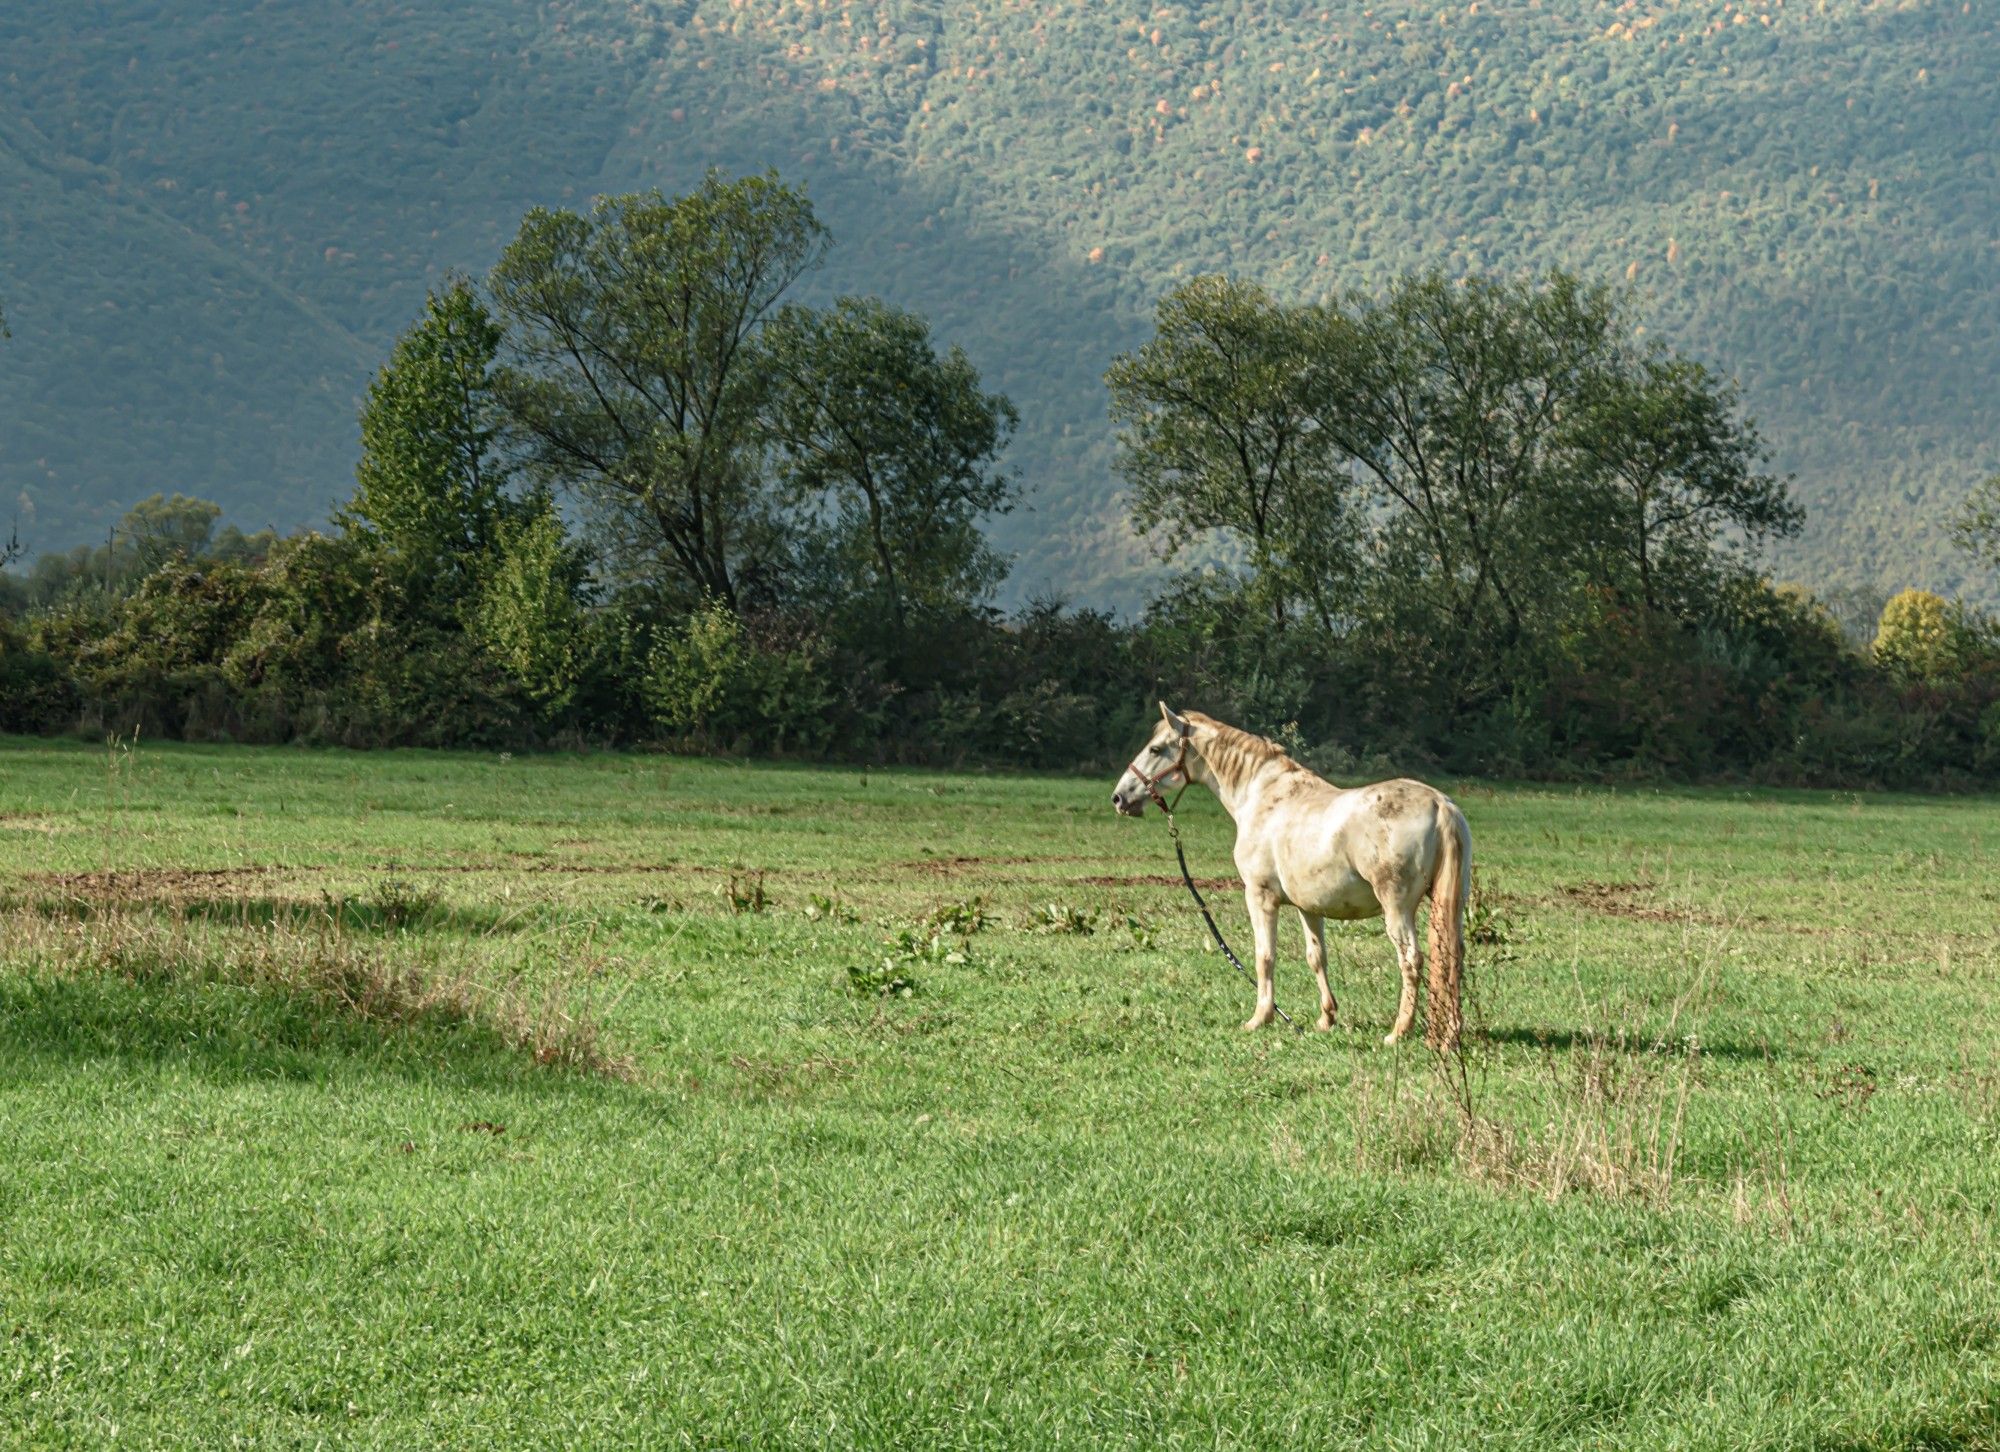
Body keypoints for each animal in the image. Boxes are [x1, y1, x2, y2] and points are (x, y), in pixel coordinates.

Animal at [1112, 704, 1472, 1048]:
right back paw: (1452, 1033)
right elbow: (1316, 957)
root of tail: (1441, 805)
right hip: (1450, 906)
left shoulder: (1259, 896)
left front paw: (1260, 1017)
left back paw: (1398, 1032)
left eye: (1156, 749)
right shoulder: (1308, 907)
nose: (1119, 797)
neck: (1262, 796)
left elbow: (1264, 956)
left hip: (1397, 909)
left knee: (1410, 960)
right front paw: (1326, 1018)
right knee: (1454, 956)